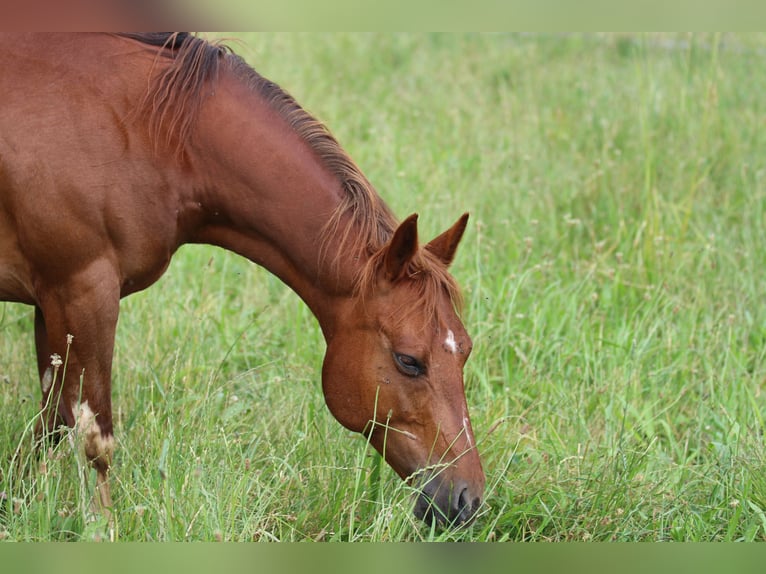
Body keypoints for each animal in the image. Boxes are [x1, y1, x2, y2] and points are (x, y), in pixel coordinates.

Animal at [0, 31, 486, 528]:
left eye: (465, 349)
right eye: (409, 361)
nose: (467, 500)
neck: (149, 136)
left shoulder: (53, 301)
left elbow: (52, 421)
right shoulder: (84, 293)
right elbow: (94, 438)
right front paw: (103, 528)